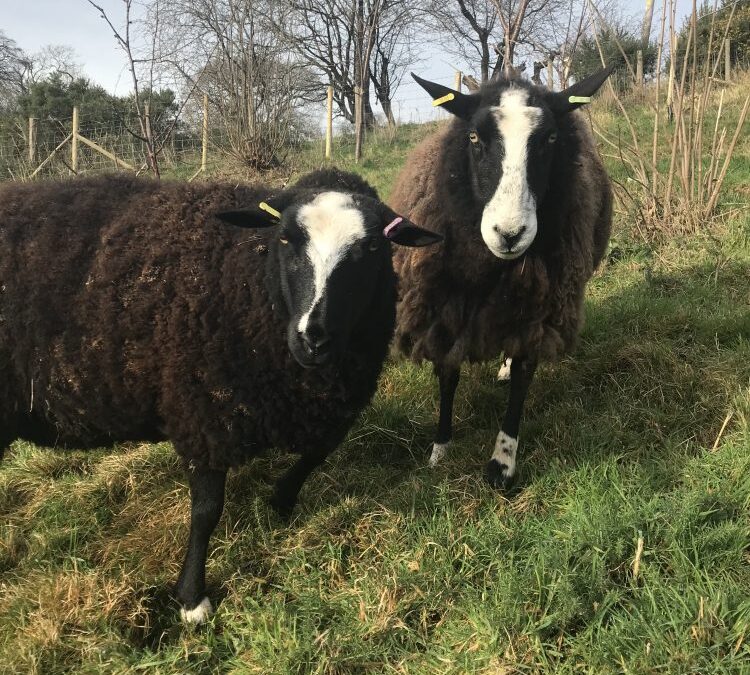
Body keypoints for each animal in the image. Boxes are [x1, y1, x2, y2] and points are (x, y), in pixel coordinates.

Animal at [0, 169, 441, 624]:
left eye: (372, 247)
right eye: (285, 239)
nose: (313, 339)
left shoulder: (333, 406)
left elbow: (316, 454)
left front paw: (280, 501)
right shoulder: (204, 414)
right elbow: (207, 511)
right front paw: (193, 598)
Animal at [390, 67, 614, 489]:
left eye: (551, 138)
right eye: (474, 137)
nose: (509, 234)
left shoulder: (540, 312)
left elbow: (523, 382)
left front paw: (502, 464)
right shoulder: (446, 310)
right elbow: (448, 375)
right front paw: (440, 450)